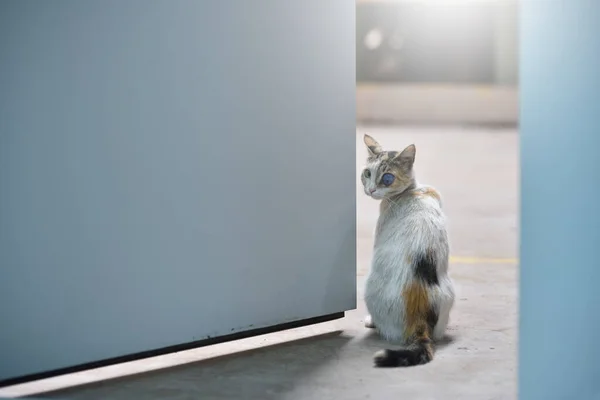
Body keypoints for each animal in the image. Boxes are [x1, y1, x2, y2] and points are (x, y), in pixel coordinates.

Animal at [360, 135, 454, 368]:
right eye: (367, 173)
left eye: (387, 178)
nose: (371, 190)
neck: (413, 190)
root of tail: (420, 322)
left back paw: (373, 323)